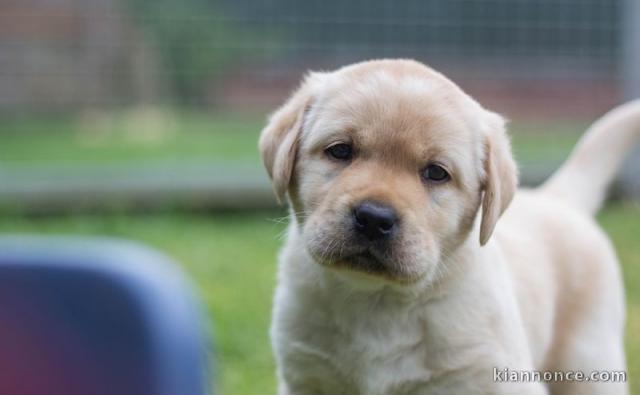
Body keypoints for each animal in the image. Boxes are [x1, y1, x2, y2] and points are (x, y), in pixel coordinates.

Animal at [258, 59, 636, 395]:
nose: (374, 218)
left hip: (590, 363)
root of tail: (557, 196)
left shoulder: (498, 379)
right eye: (340, 151)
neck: (378, 300)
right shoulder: (305, 376)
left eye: (436, 173)